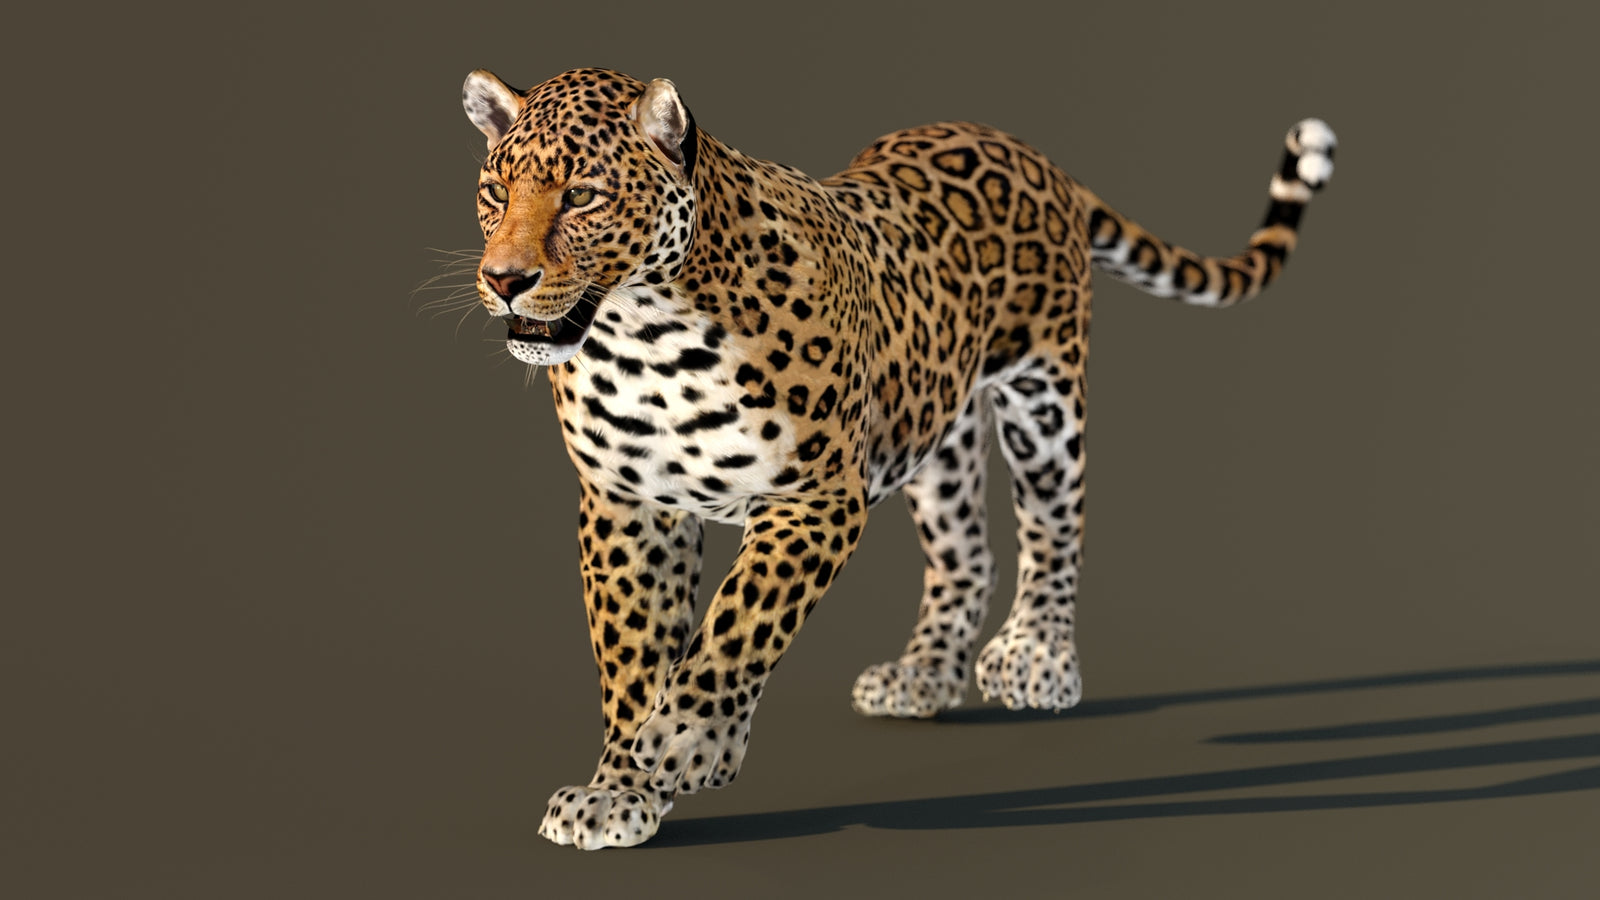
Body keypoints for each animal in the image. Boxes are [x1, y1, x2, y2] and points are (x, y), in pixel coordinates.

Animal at [454, 66, 1335, 849]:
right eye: (495, 192)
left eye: (582, 196)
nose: (505, 279)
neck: (643, 336)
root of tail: (1025, 147)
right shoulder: (628, 507)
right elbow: (633, 658)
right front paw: (619, 792)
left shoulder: (814, 497)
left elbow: (738, 623)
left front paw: (688, 742)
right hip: (935, 430)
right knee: (967, 554)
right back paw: (923, 676)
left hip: (1044, 396)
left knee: (1055, 528)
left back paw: (1039, 659)